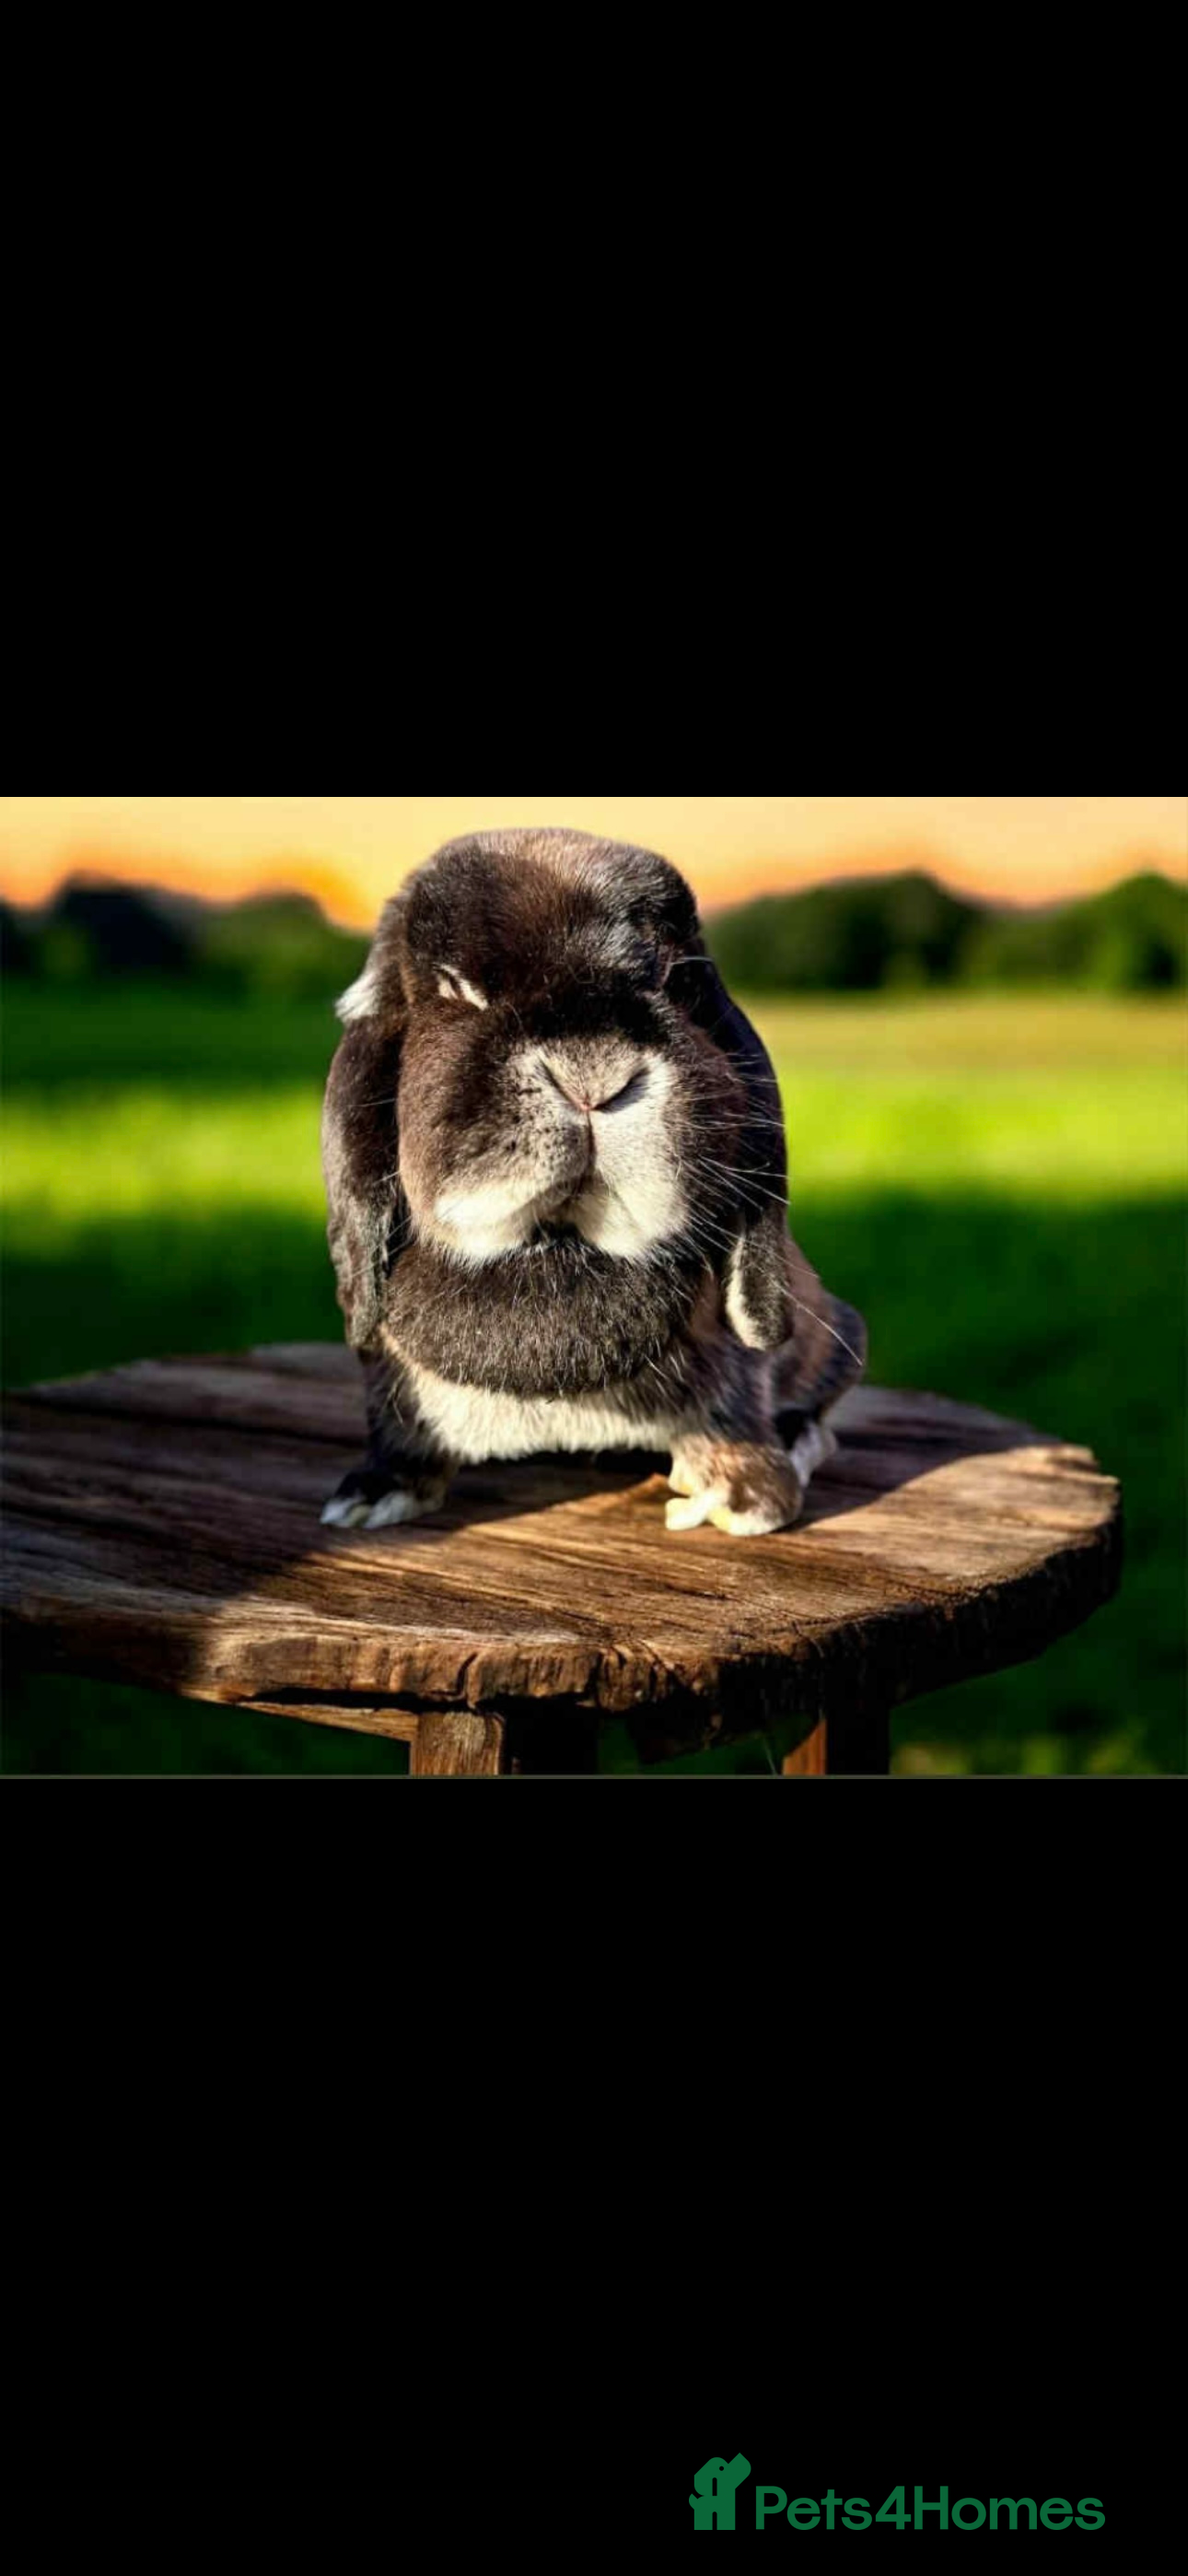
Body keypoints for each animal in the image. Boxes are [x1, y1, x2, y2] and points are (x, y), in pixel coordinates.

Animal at [320, 828, 867, 1538]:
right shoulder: (388, 1373)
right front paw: (373, 1494)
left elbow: (737, 1411)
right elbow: (394, 1422)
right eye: (456, 991)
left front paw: (737, 1499)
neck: (558, 1248)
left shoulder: (737, 1376)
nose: (593, 1075)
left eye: (674, 980)